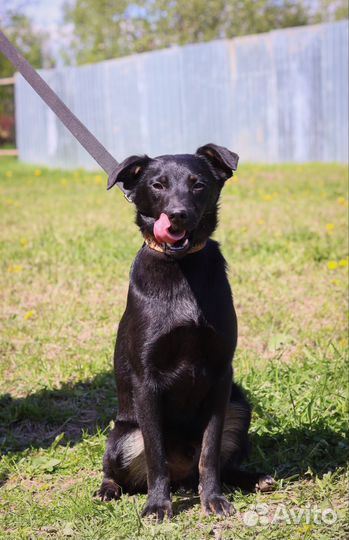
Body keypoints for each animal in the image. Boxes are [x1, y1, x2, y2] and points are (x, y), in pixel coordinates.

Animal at [96, 142, 274, 520]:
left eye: (198, 184)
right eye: (158, 185)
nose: (176, 215)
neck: (181, 266)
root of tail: (184, 478)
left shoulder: (220, 376)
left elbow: (210, 453)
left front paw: (214, 498)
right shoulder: (147, 382)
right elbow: (156, 457)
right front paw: (157, 505)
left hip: (239, 406)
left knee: (220, 462)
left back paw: (252, 478)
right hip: (122, 436)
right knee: (116, 468)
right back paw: (108, 489)